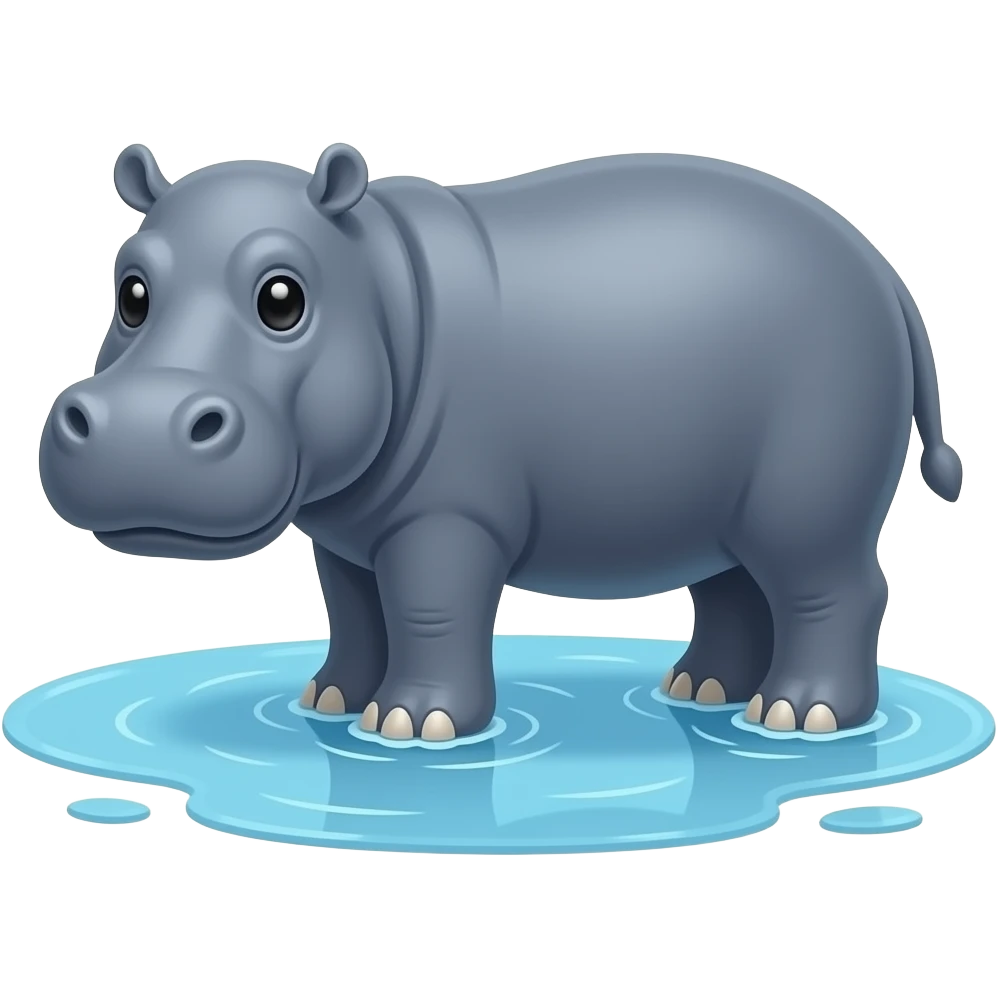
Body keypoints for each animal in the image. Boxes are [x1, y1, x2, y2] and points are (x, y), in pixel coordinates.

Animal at [39, 144, 963, 742]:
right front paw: (329, 702)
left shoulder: (446, 517)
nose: (138, 424)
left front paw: (412, 727)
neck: (373, 278)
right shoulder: (344, 527)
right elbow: (354, 612)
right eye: (130, 290)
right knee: (735, 586)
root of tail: (883, 272)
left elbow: (428, 607)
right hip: (720, 504)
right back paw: (700, 693)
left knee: (832, 585)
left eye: (281, 297)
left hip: (804, 489)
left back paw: (799, 719)